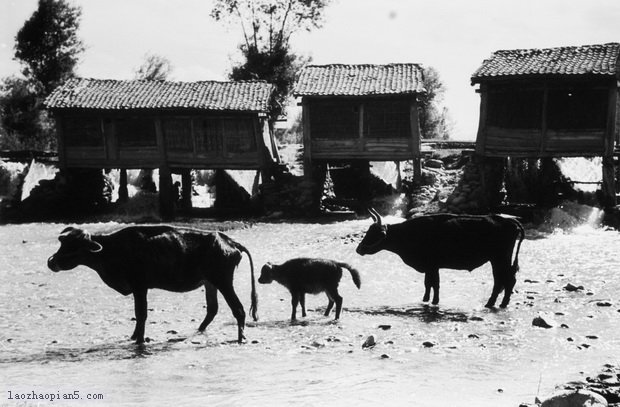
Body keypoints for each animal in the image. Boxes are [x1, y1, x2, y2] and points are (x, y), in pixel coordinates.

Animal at [47, 226, 258, 344]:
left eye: (74, 247)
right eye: (62, 242)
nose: (51, 262)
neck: (112, 250)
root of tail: (229, 241)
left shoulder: (139, 286)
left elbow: (141, 314)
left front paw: (139, 340)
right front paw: (134, 337)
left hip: (223, 281)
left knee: (238, 309)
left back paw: (241, 337)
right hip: (210, 282)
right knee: (212, 309)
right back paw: (199, 330)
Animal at [356, 210, 524, 310]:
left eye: (373, 233)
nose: (359, 249)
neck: (409, 233)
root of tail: (509, 221)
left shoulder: (432, 265)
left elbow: (434, 284)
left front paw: (434, 301)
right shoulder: (431, 267)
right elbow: (429, 283)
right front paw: (426, 300)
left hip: (499, 259)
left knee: (504, 280)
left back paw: (494, 303)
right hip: (499, 260)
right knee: (506, 280)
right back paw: (499, 303)